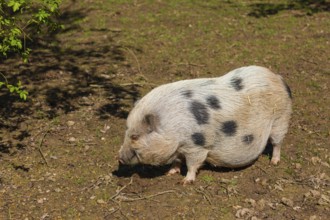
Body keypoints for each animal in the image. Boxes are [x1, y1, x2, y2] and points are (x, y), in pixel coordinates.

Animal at [118, 65, 292, 184]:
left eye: (135, 136)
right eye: (126, 130)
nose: (119, 157)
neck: (173, 128)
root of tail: (279, 79)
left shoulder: (197, 146)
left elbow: (192, 164)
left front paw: (185, 182)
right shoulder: (180, 147)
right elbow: (177, 160)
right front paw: (170, 173)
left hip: (280, 119)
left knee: (277, 143)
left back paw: (274, 162)